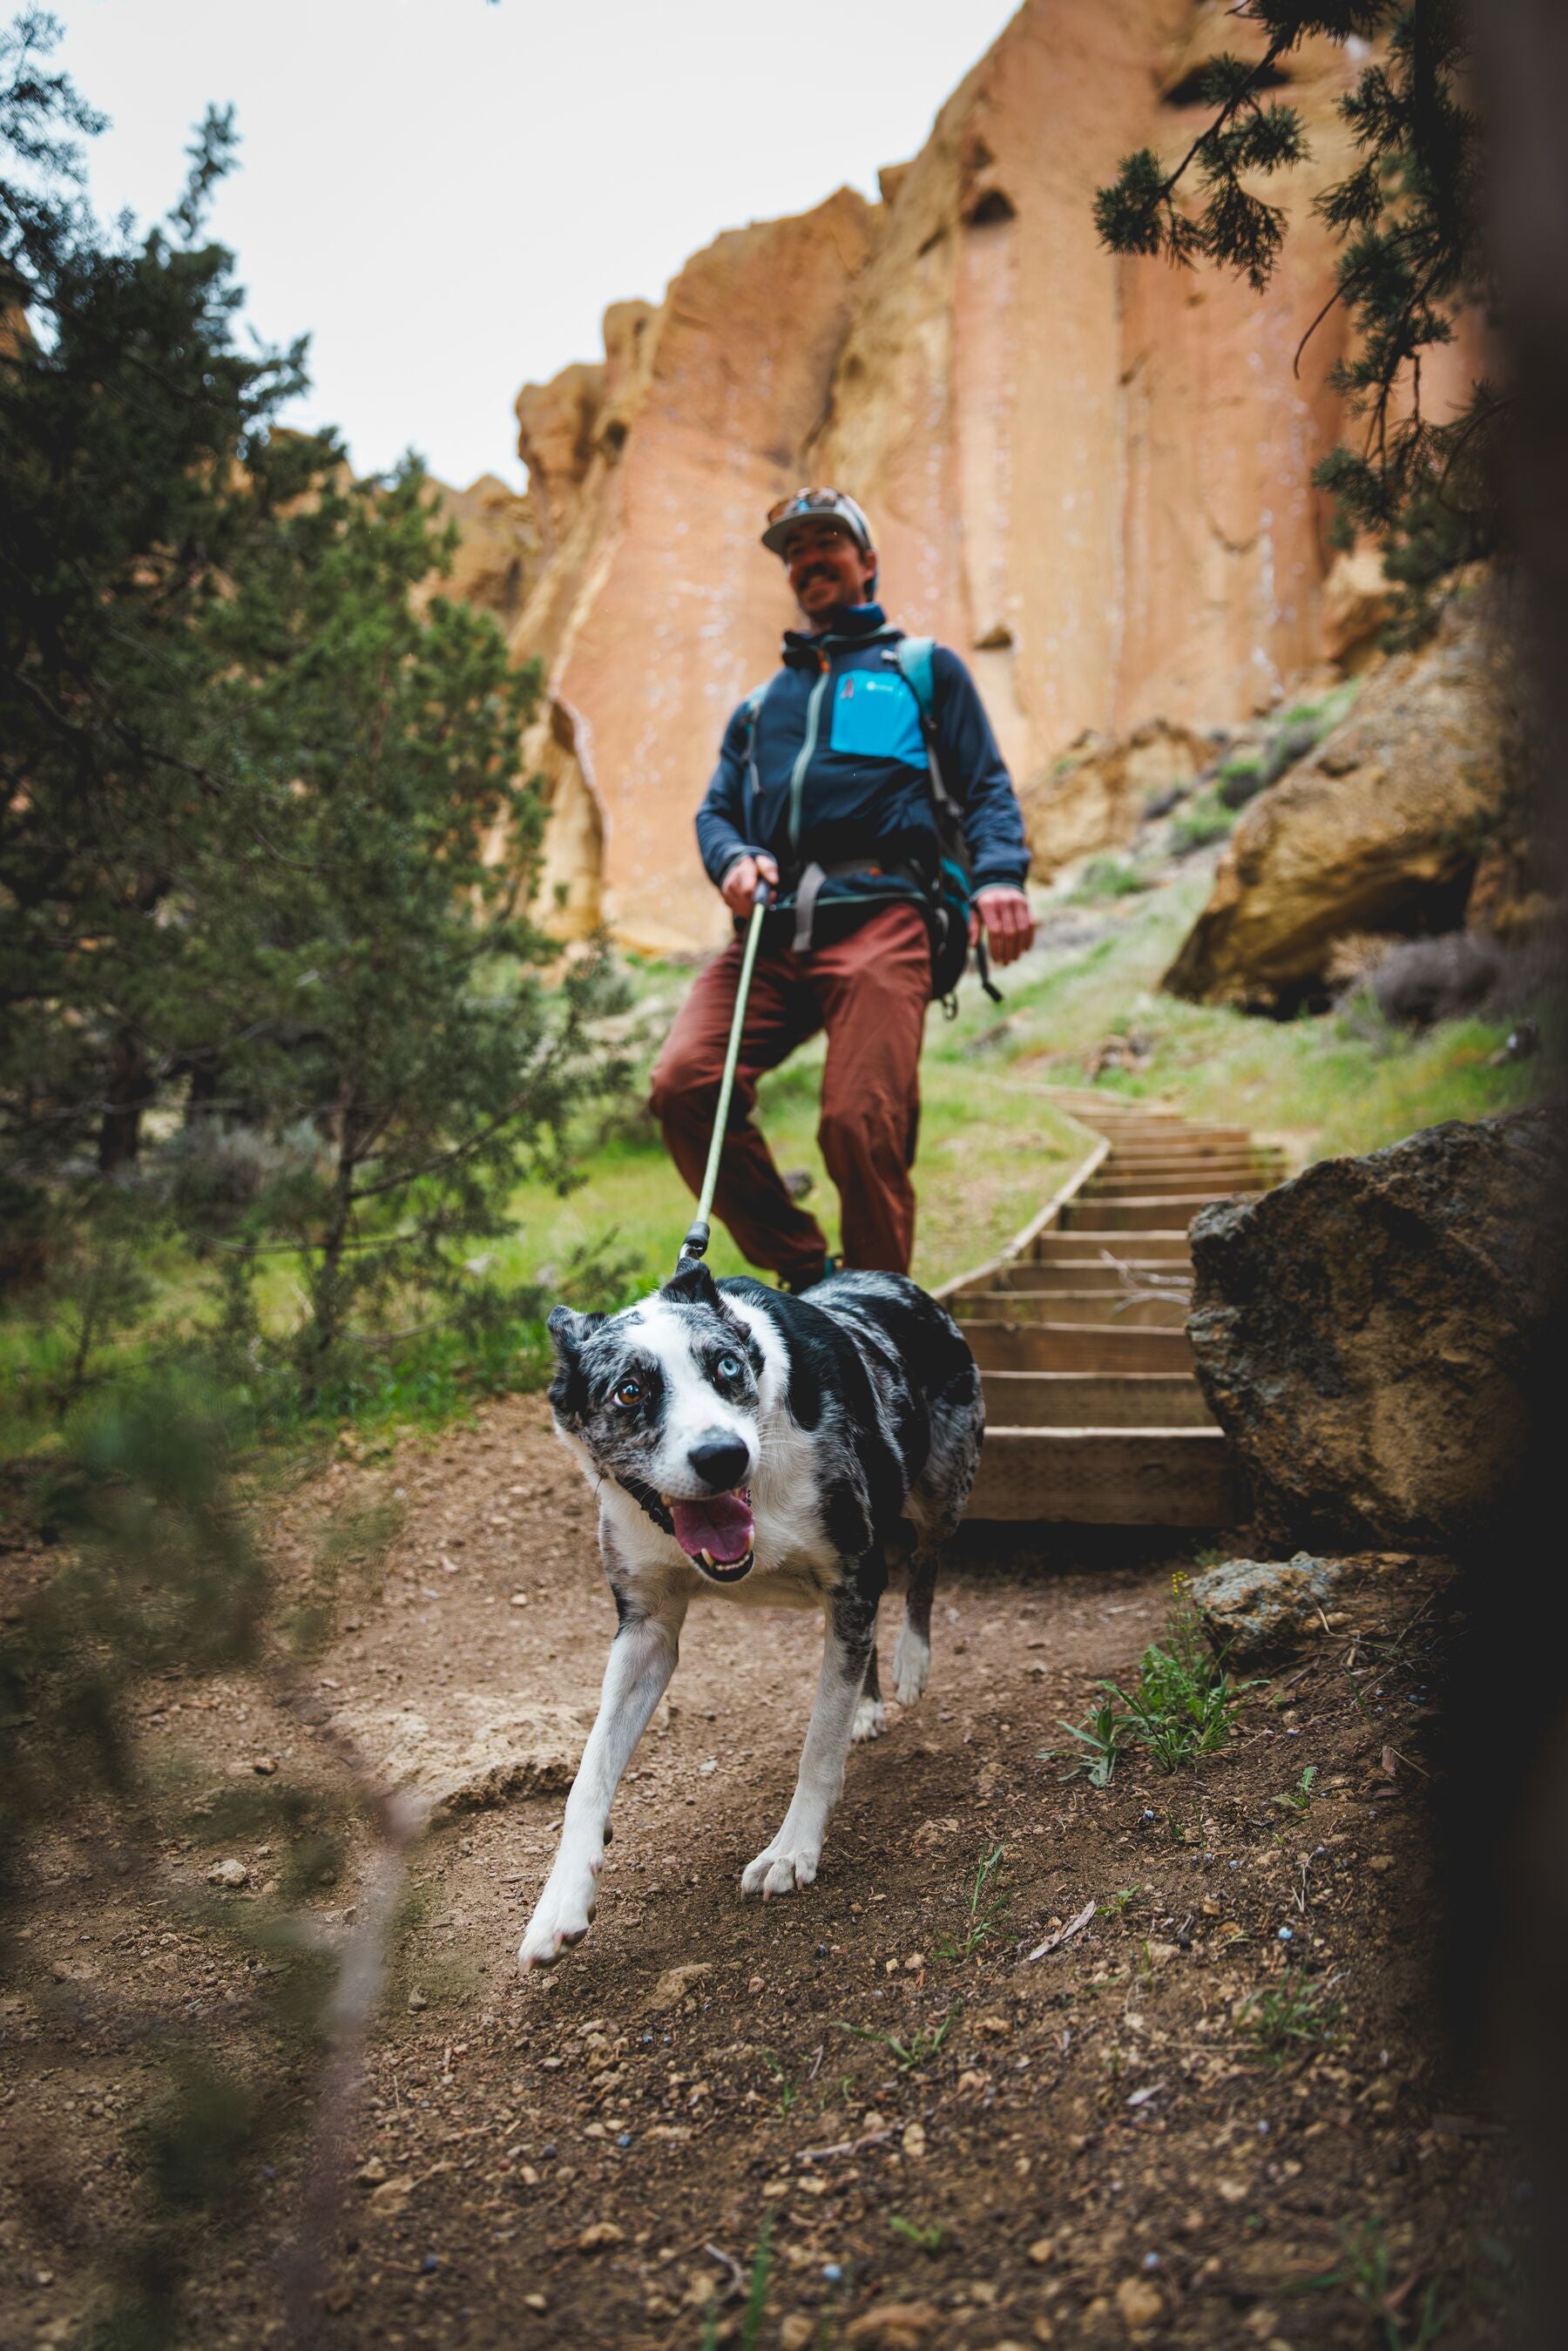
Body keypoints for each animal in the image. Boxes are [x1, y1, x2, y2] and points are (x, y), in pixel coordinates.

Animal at [515, 1260, 983, 1975]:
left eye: (727, 1367)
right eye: (629, 1391)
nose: (722, 1455)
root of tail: (891, 1277)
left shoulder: (853, 1574)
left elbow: (818, 1742)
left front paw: (791, 1850)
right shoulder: (646, 1629)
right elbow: (589, 1775)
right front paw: (559, 1904)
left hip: (939, 1490)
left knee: (925, 1563)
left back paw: (911, 1662)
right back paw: (869, 1702)